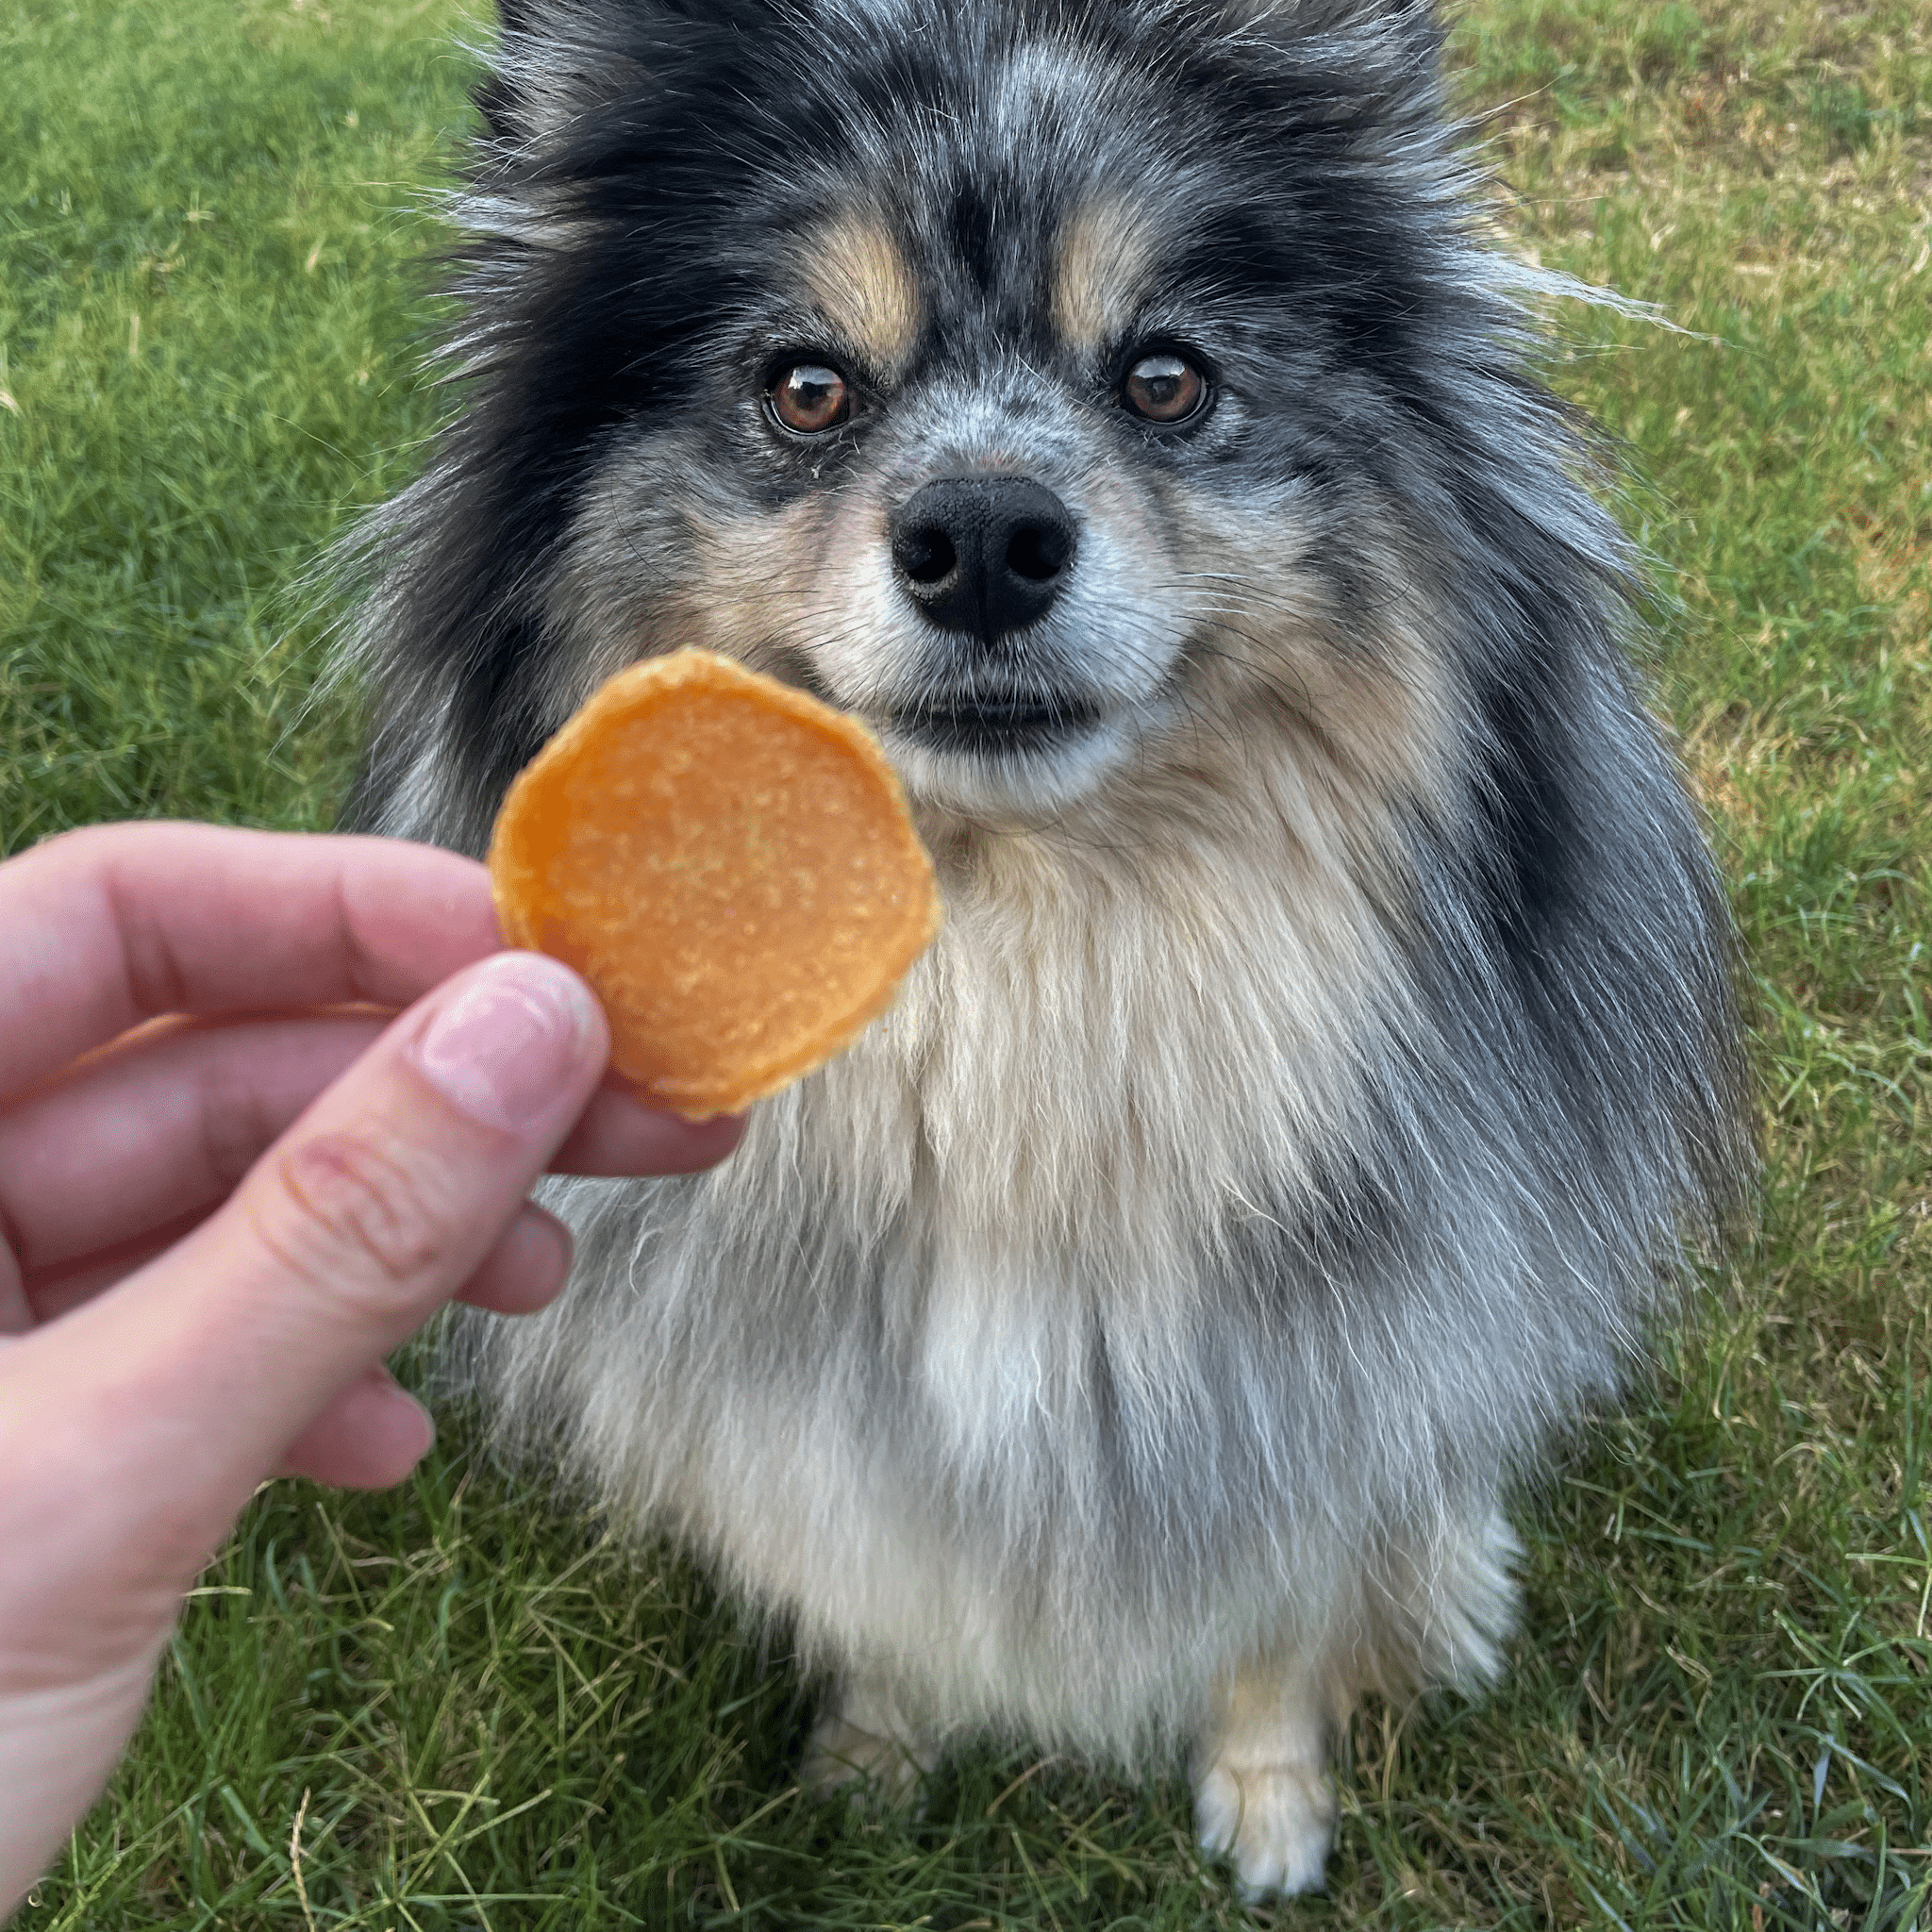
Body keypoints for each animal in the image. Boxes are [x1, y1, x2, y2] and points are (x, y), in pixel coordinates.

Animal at [336, 0, 1754, 1893]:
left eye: (1166, 379)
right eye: (807, 387)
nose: (986, 537)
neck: (1027, 952)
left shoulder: (1317, 1393)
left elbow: (1271, 1626)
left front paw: (1268, 1805)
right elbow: (870, 1586)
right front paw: (872, 1762)